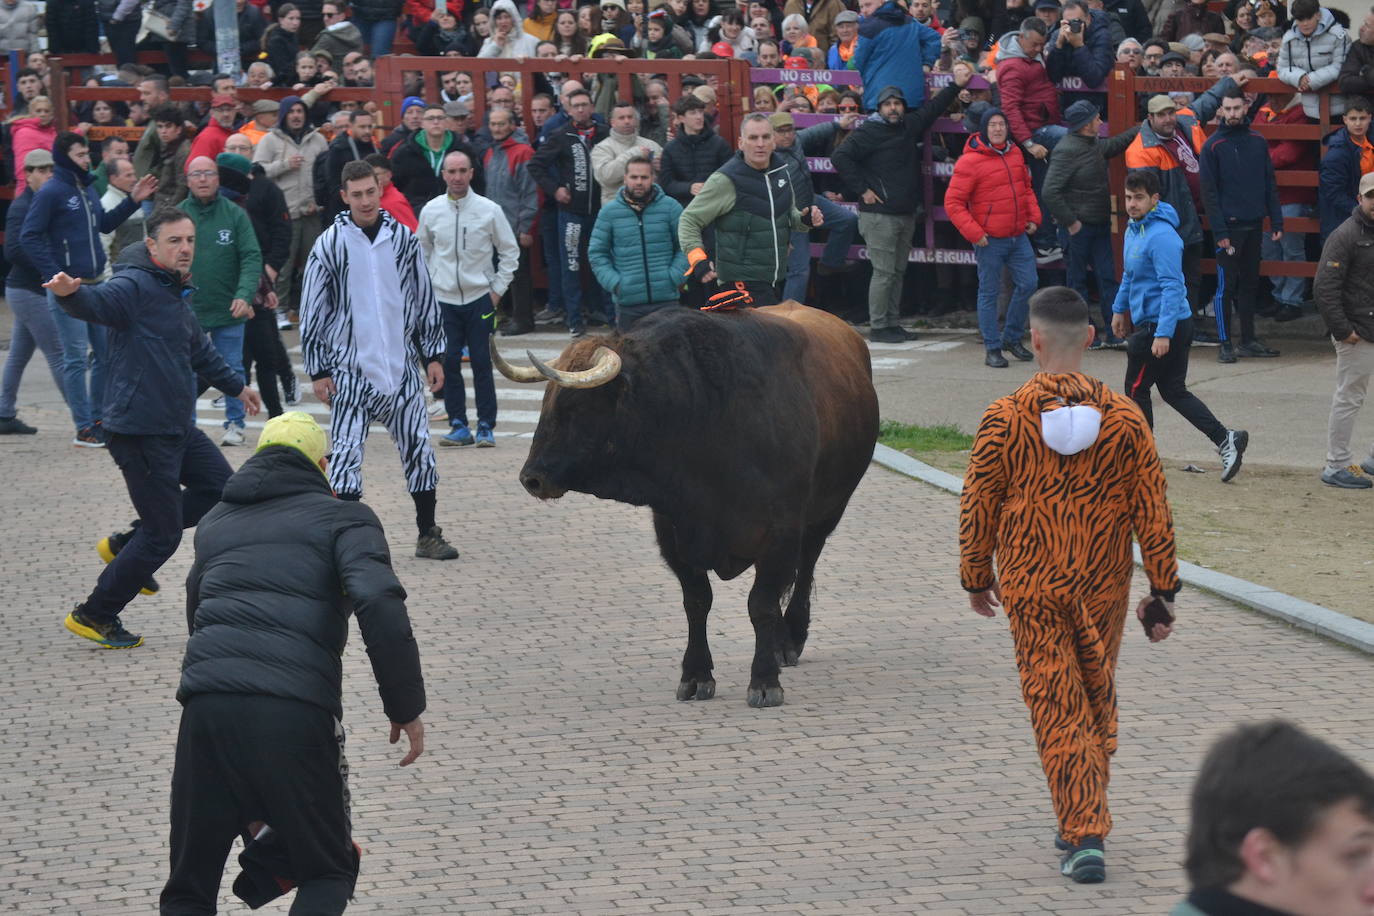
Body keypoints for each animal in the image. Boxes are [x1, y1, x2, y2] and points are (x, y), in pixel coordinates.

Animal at [497, 302, 879, 708]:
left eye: (574, 405)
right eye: (546, 402)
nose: (532, 478)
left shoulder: (781, 532)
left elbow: (759, 604)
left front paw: (764, 680)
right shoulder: (673, 530)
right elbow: (697, 603)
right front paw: (696, 675)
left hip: (826, 513)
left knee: (805, 569)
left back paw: (789, 638)